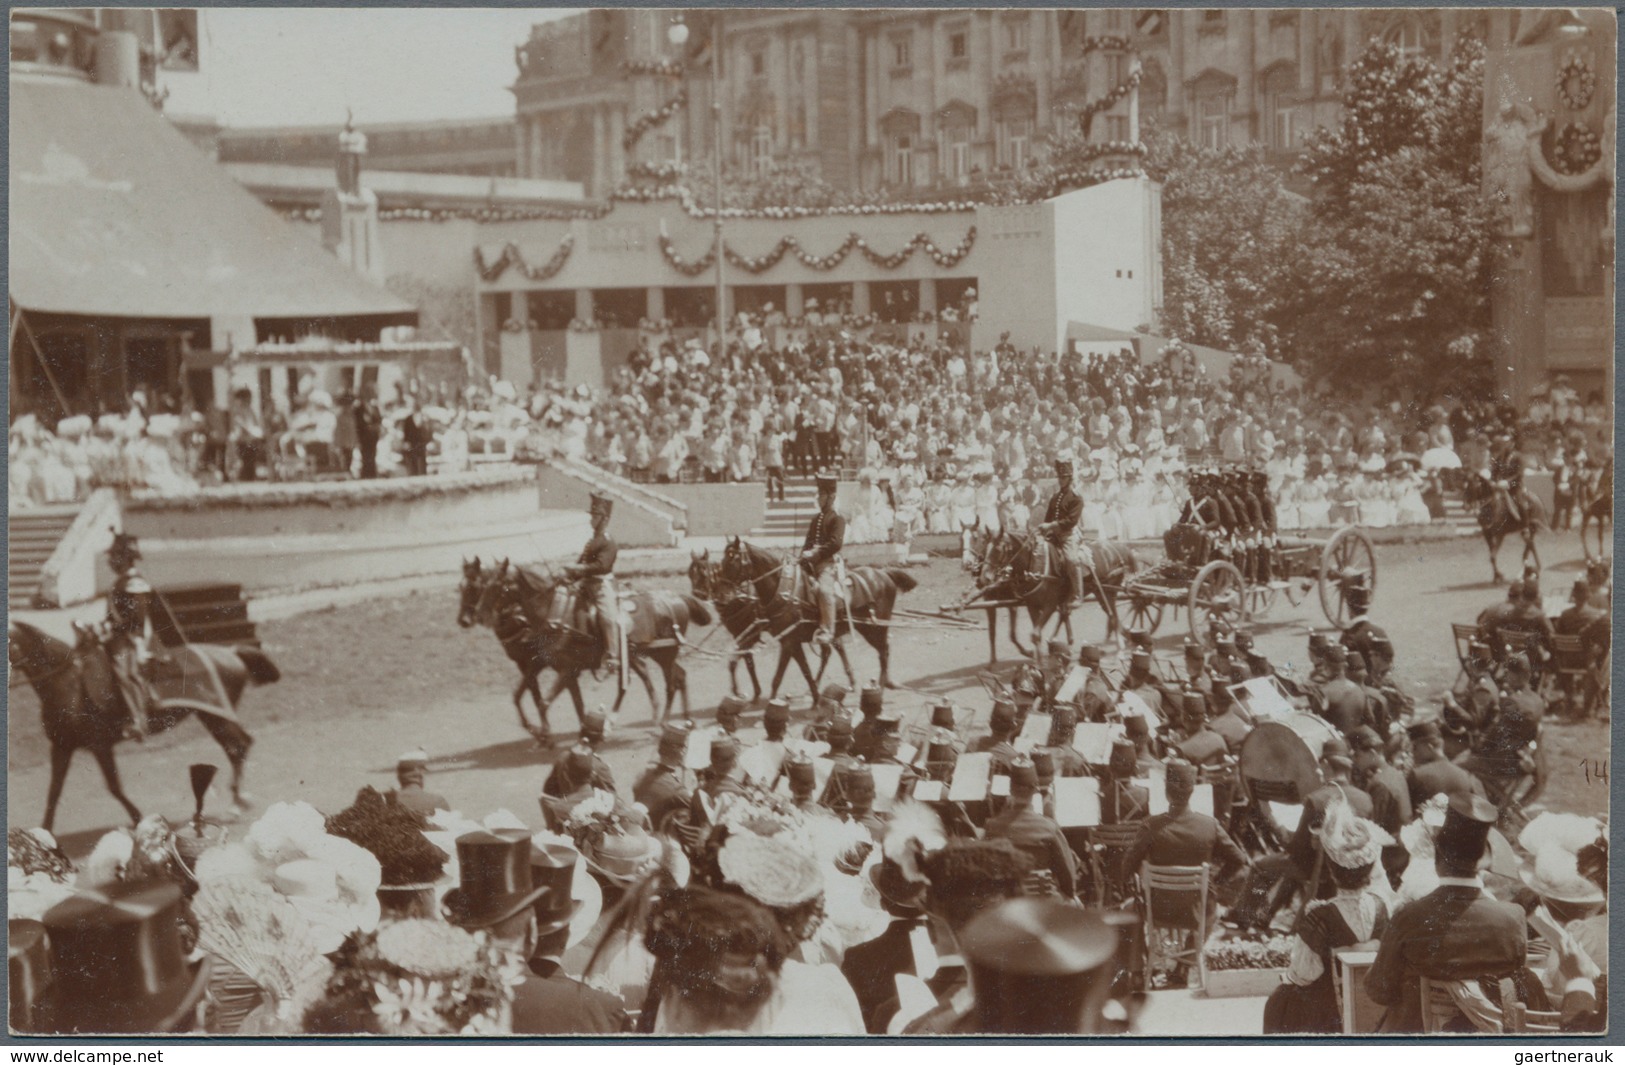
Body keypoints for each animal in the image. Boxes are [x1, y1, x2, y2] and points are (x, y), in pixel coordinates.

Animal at [5, 621, 279, 838]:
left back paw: (235, 806)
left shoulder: (100, 746)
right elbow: (53, 791)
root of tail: (231, 651)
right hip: (213, 716)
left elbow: (114, 787)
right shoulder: (61, 746)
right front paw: (43, 832)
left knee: (236, 747)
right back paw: (238, 801)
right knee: (241, 744)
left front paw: (138, 818)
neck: (70, 685)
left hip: (215, 716)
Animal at [477, 562, 715, 728]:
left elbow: (545, 702)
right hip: (654, 654)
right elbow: (566, 702)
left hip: (665, 653)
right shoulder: (557, 668)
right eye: (483, 585)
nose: (481, 614)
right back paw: (683, 718)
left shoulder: (565, 670)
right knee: (676, 676)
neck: (556, 614)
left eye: (498, 586)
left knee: (671, 683)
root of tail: (676, 597)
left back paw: (664, 720)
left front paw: (545, 735)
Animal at [685, 549, 819, 699]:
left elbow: (747, 663)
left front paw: (754, 691)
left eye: (704, 573)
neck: (737, 598)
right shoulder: (742, 636)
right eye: (690, 574)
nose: (698, 594)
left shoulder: (747, 636)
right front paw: (741, 691)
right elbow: (736, 663)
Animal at [721, 543, 916, 692]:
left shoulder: (788, 641)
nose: (726, 595)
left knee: (883, 651)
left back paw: (881, 685)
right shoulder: (790, 640)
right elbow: (804, 669)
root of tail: (883, 574)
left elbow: (777, 677)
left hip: (874, 628)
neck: (784, 590)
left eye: (732, 560)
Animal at [955, 526, 1137, 663]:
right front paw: (1039, 660)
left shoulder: (1049, 605)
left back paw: (1121, 650)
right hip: (1101, 593)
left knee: (1113, 616)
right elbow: (1035, 635)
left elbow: (1034, 634)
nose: (984, 577)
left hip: (1108, 592)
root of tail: (1119, 548)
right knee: (1106, 616)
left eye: (999, 549)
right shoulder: (1031, 605)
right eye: (986, 546)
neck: (1036, 565)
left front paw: (1039, 661)